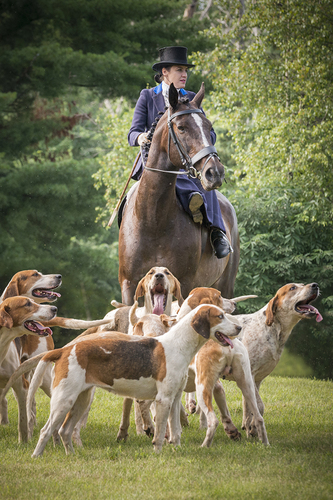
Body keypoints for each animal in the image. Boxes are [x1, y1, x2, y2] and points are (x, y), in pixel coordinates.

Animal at [118, 83, 237, 304]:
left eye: (209, 127)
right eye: (181, 127)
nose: (215, 172)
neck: (153, 220)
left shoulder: (183, 284)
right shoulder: (128, 285)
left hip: (225, 285)